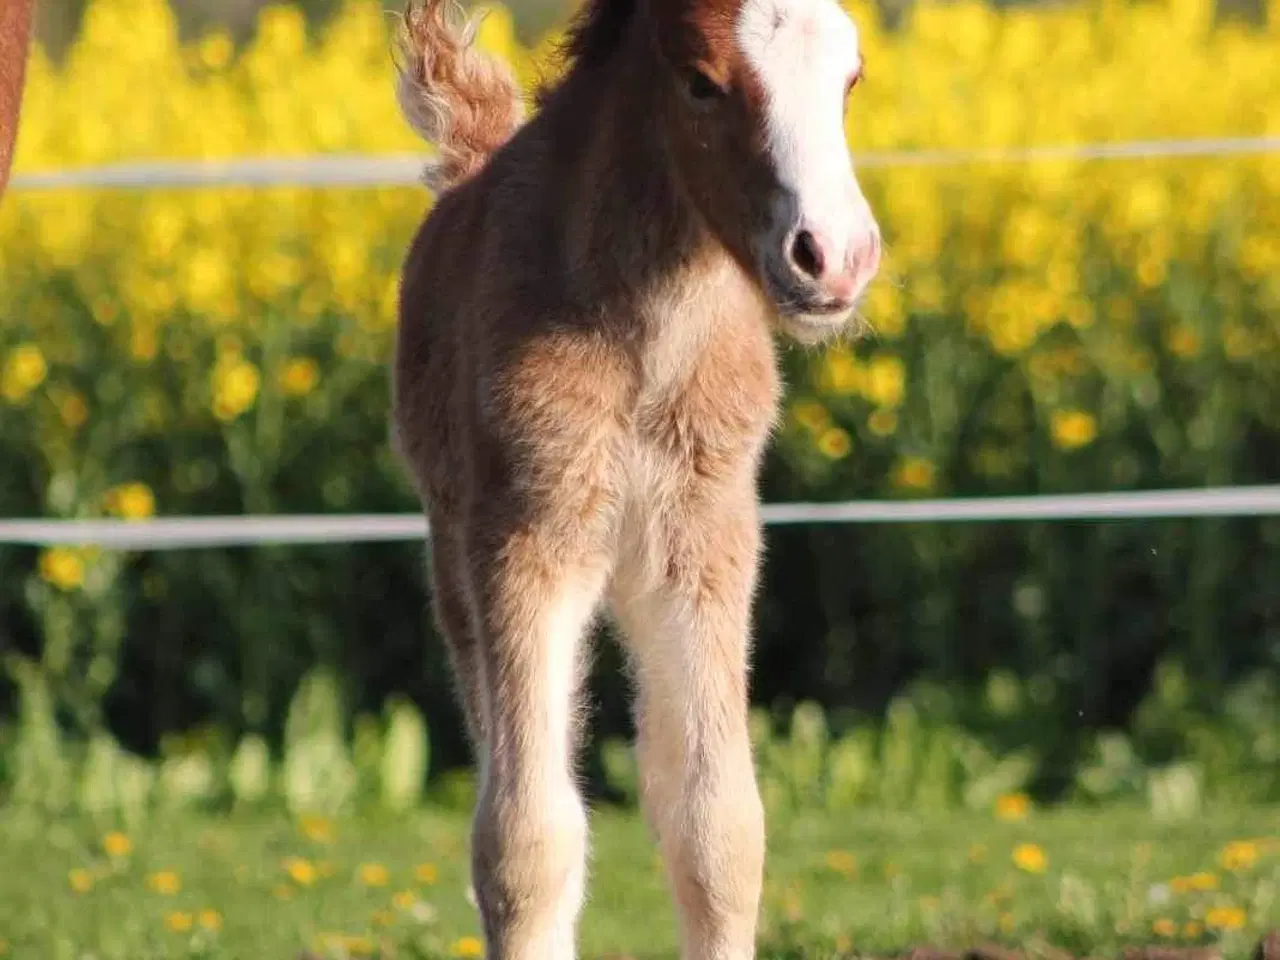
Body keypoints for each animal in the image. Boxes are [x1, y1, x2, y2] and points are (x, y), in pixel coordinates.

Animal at [389, 0, 885, 957]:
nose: (836, 259)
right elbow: (526, 839)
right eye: (701, 83)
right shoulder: (525, 545)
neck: (645, 342)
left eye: (851, 78)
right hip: (456, 561)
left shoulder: (706, 544)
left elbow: (716, 829)